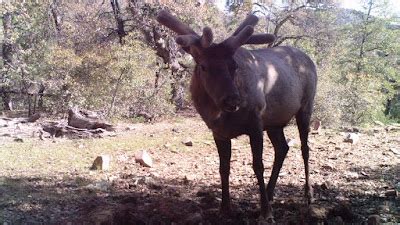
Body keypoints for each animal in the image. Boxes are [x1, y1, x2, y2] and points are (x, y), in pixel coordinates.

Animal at [156, 10, 316, 220]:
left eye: (233, 66)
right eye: (203, 66)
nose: (232, 100)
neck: (220, 116)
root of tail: (310, 60)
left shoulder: (256, 122)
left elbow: (258, 165)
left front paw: (266, 213)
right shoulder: (219, 133)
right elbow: (223, 168)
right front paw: (224, 208)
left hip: (305, 106)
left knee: (305, 148)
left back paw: (308, 195)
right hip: (274, 122)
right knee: (283, 148)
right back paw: (270, 193)